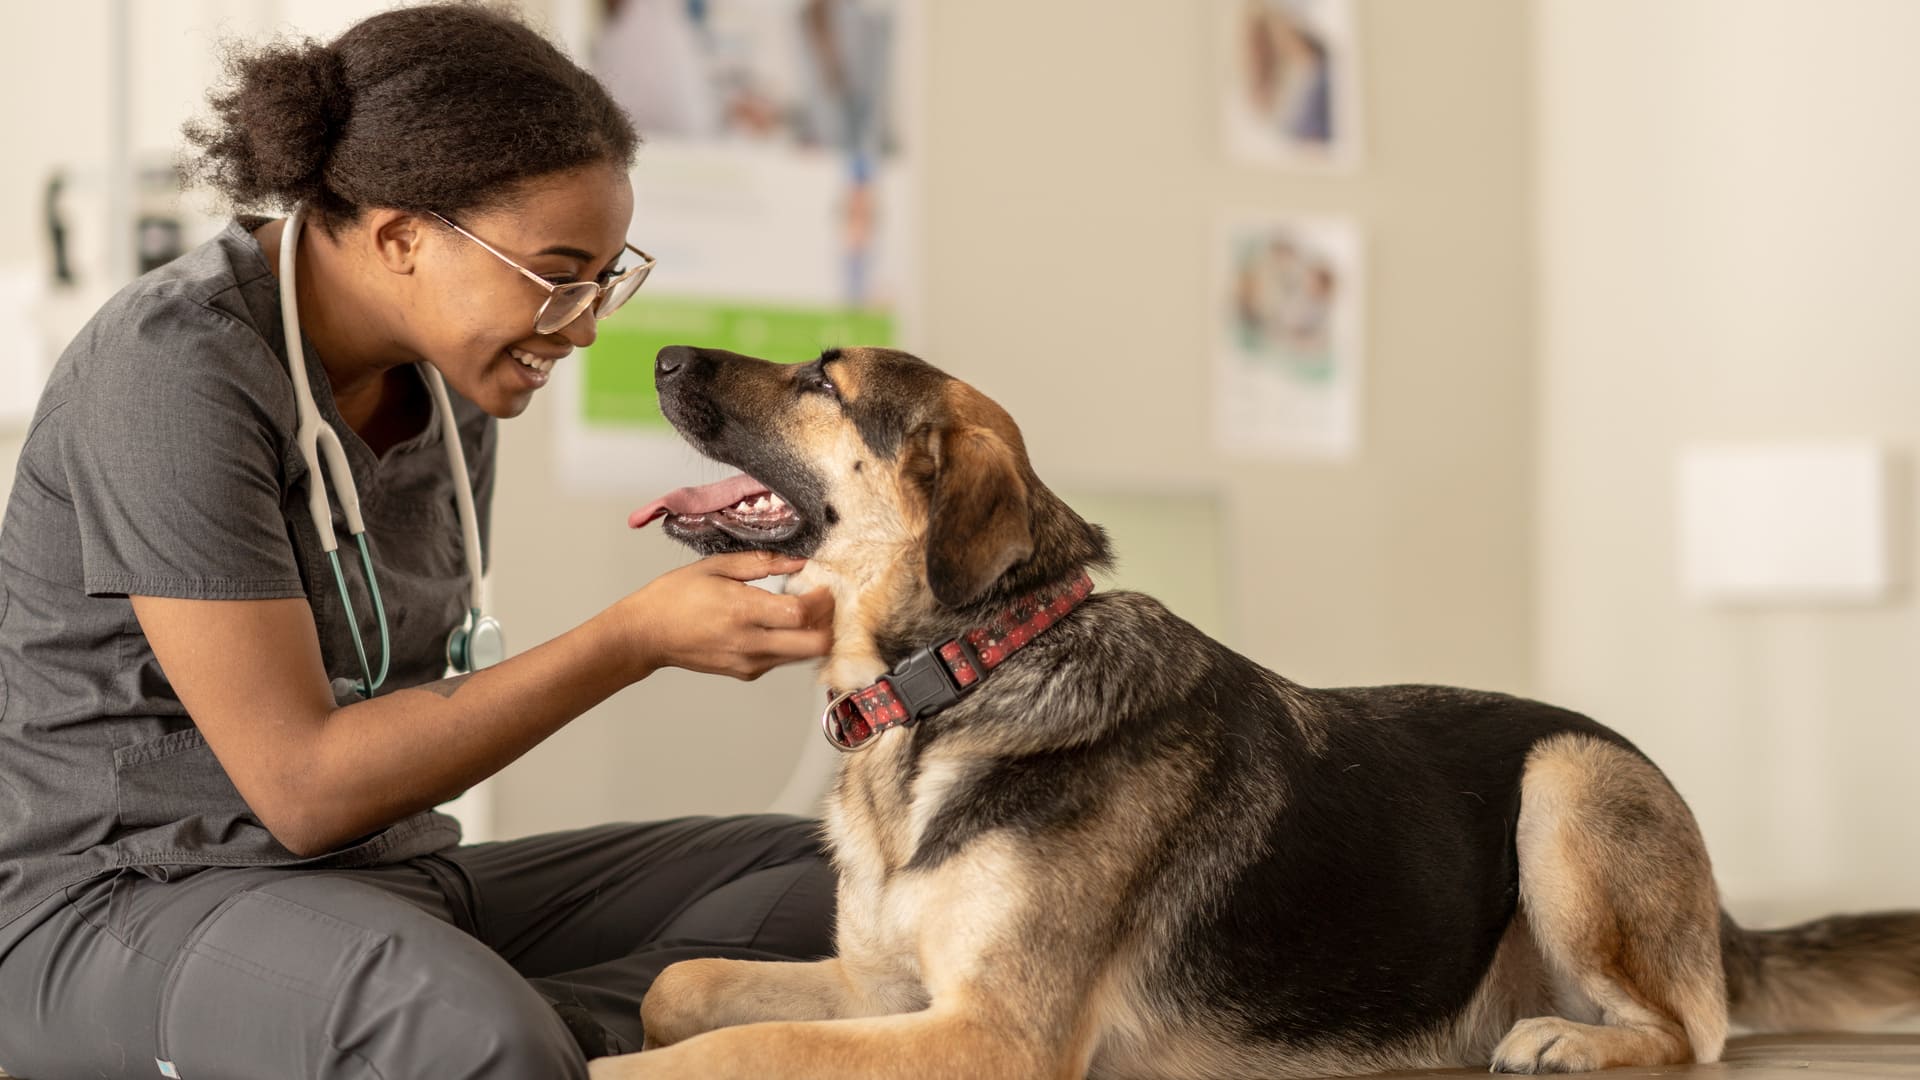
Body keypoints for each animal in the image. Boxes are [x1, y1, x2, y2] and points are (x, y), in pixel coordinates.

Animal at [591, 343, 1912, 1076]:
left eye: (824, 380)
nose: (658, 357)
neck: (961, 673)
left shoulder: (989, 1034)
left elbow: (731, 1053)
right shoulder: (885, 996)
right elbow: (681, 991)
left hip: (1570, 779)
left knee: (1694, 1030)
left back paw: (1572, 1042)